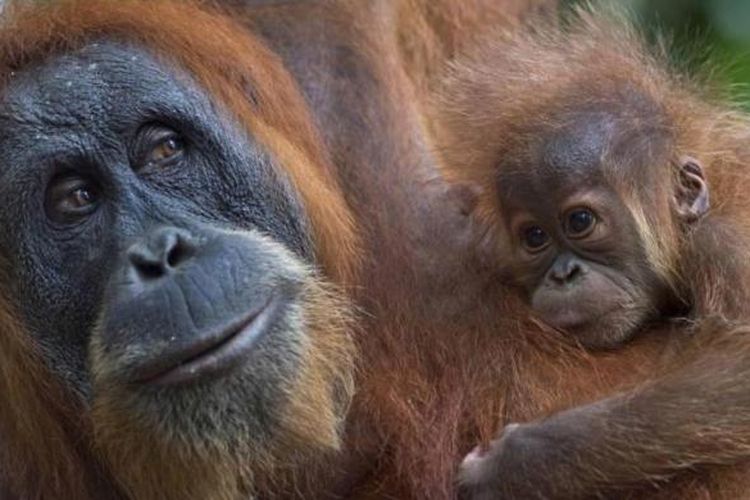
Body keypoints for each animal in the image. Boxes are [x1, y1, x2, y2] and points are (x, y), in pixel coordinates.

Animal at [429, 8, 750, 499]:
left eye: (579, 221)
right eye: (534, 237)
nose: (563, 275)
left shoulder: (726, 247)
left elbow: (740, 362)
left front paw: (512, 464)